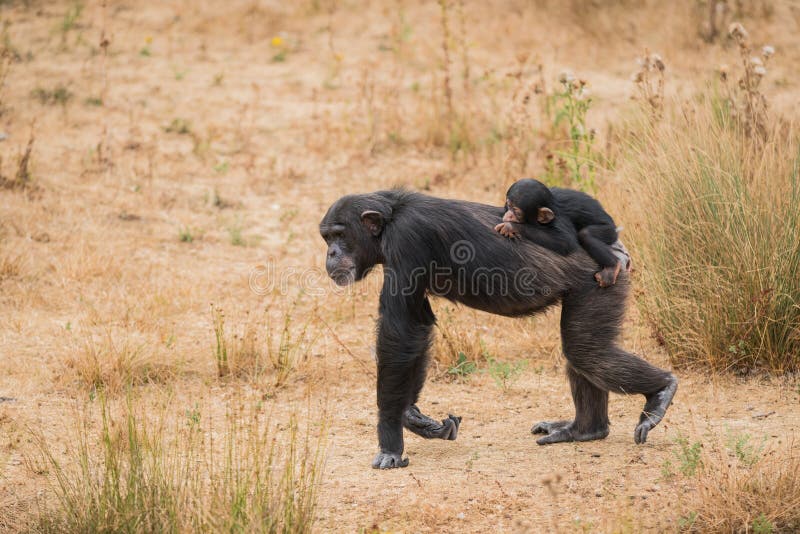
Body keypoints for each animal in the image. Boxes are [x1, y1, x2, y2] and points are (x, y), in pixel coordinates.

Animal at [494, 180, 624, 288]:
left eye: (517, 212)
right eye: (509, 205)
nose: (509, 215)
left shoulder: (560, 219)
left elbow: (565, 242)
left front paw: (511, 227)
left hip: (609, 231)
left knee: (586, 234)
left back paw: (612, 267)